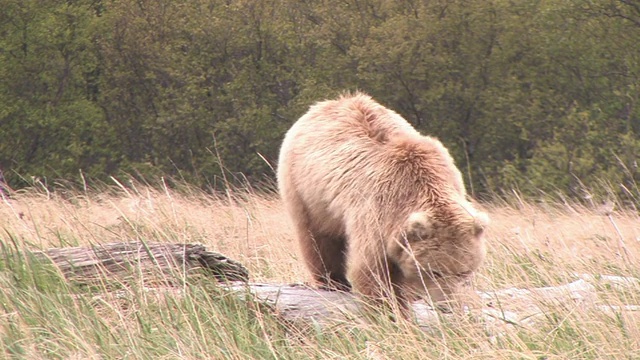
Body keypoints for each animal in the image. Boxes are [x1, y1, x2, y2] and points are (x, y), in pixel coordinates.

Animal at [278, 91, 488, 310]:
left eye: (463, 271)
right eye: (434, 271)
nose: (446, 305)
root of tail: (325, 104)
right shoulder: (378, 211)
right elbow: (372, 271)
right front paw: (391, 308)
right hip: (306, 189)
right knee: (317, 237)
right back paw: (333, 281)